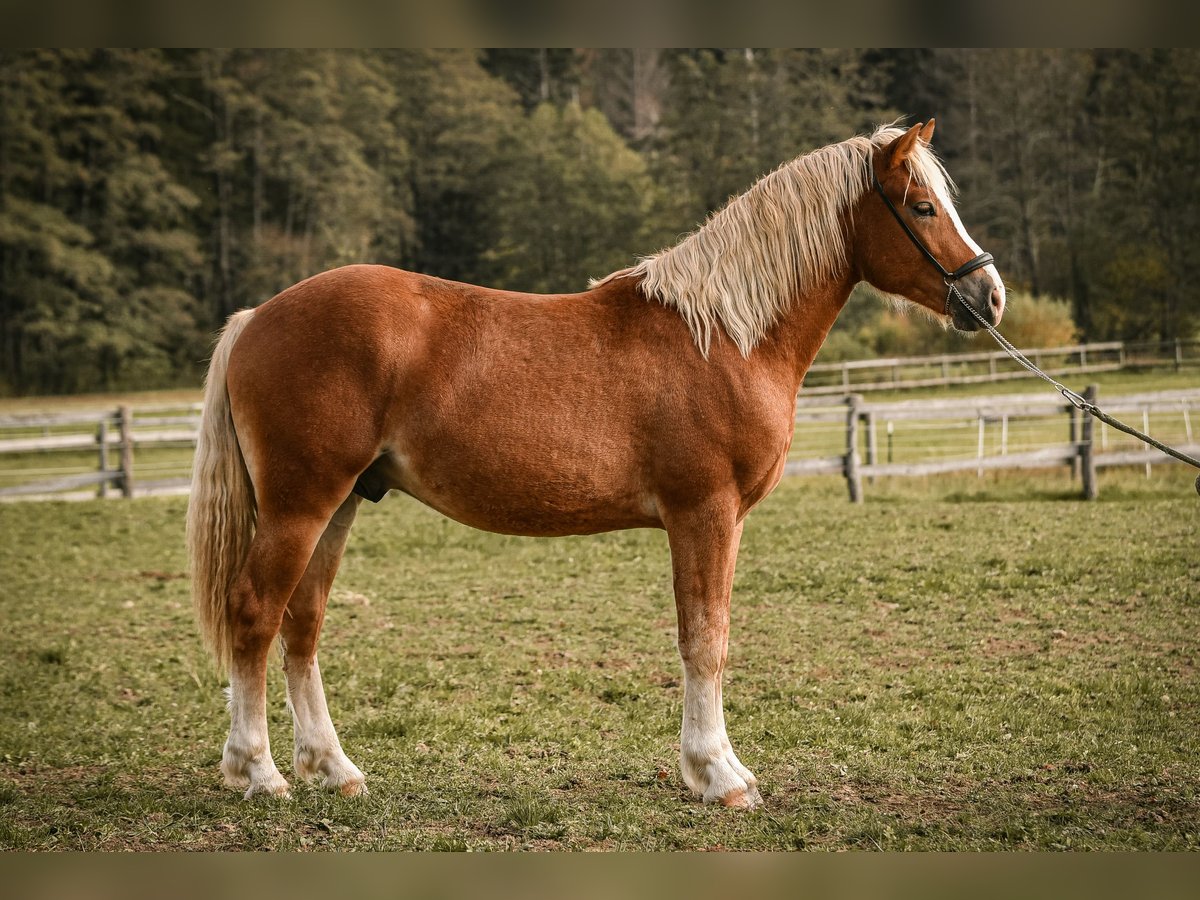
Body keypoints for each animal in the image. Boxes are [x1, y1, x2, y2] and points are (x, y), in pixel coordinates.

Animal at [187, 120, 1004, 808]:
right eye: (922, 207)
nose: (988, 296)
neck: (723, 337)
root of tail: (256, 317)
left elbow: (706, 636)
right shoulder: (704, 513)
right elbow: (705, 638)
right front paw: (718, 775)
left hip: (342, 503)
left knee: (302, 624)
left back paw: (334, 768)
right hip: (302, 505)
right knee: (254, 614)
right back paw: (257, 773)